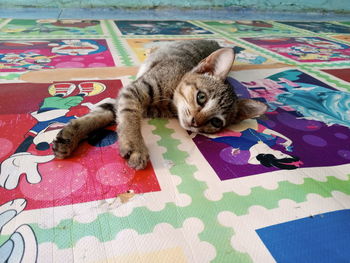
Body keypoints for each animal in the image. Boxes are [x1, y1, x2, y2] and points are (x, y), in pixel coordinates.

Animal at [52, 40, 266, 170]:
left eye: (216, 122)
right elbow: (127, 118)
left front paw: (70, 137)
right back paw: (151, 49)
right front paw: (135, 145)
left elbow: (100, 115)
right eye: (201, 97)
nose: (195, 123)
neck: (170, 102)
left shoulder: (125, 103)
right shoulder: (132, 92)